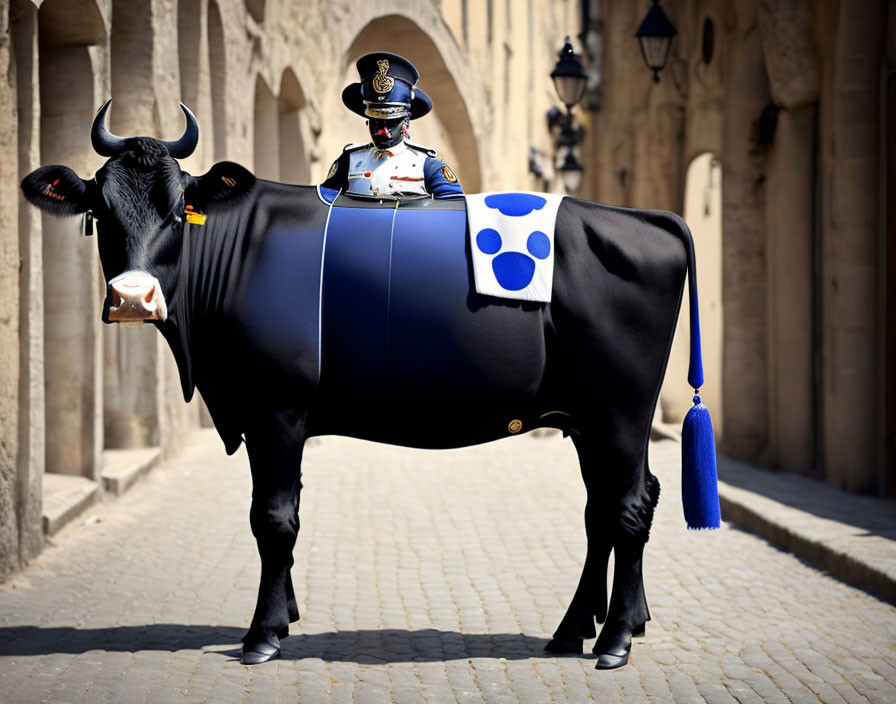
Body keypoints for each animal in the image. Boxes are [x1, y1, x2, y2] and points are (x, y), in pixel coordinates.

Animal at [24, 102, 716, 668]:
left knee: (628, 507)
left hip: (620, 410)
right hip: (587, 418)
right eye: (100, 210)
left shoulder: (275, 409)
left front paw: (262, 634)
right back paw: (579, 628)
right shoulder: (269, 415)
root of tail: (642, 219)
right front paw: (287, 613)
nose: (131, 298)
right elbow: (285, 511)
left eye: (175, 212)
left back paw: (616, 639)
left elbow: (273, 517)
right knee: (606, 509)